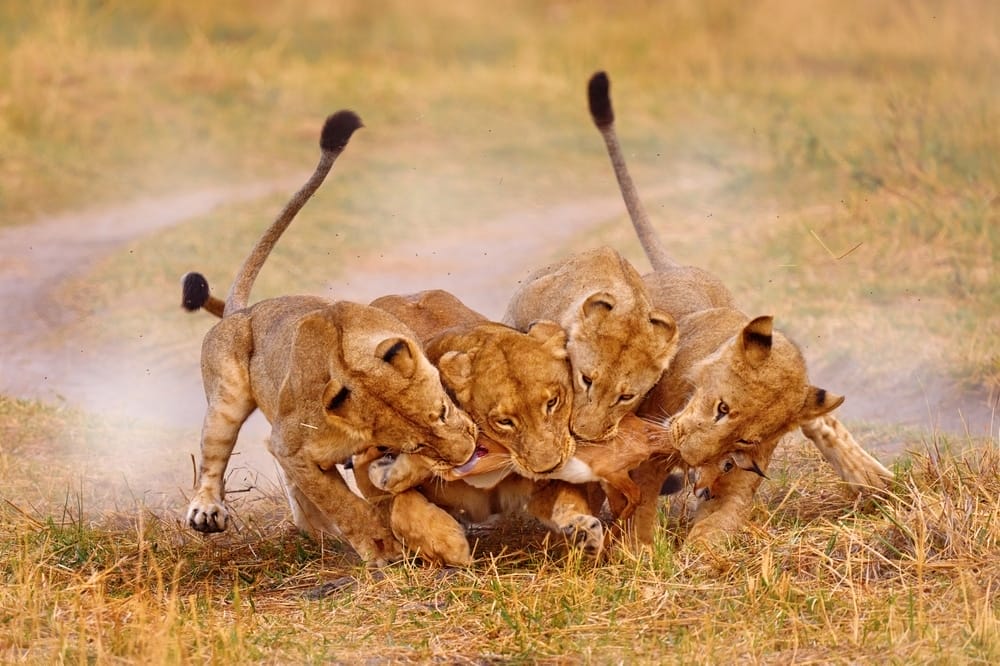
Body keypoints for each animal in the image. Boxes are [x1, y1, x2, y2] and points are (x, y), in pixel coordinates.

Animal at [180, 111, 476, 565]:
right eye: (413, 446)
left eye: (442, 412)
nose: (468, 454)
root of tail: (242, 310)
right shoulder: (293, 446)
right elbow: (342, 502)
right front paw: (379, 547)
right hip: (227, 398)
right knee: (215, 454)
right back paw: (210, 511)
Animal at [586, 70, 893, 543]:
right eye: (722, 408)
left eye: (746, 440)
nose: (688, 455)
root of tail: (677, 269)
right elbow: (639, 515)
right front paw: (639, 553)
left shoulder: (738, 473)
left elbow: (713, 530)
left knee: (823, 417)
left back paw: (873, 478)